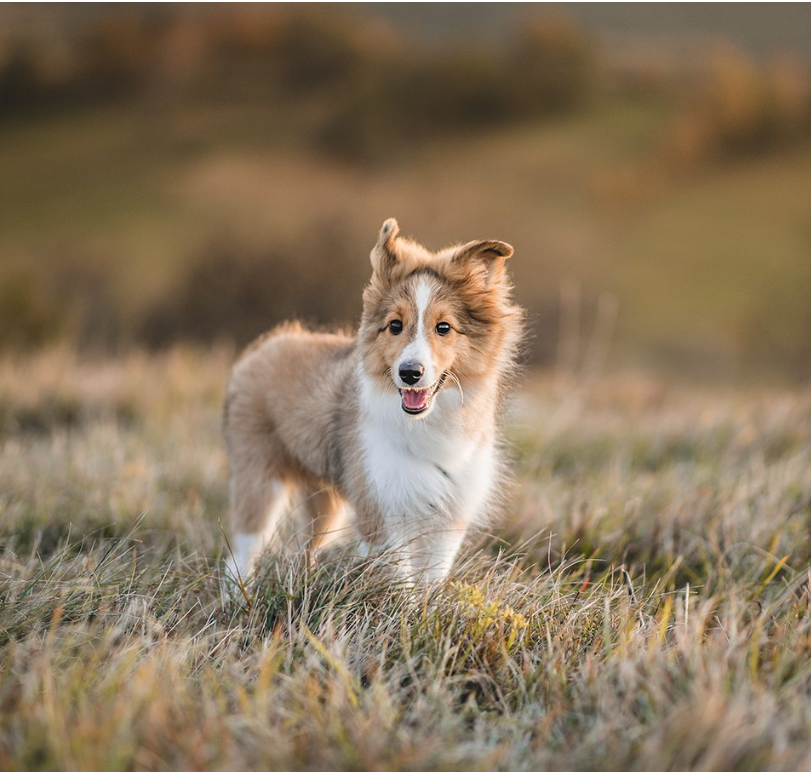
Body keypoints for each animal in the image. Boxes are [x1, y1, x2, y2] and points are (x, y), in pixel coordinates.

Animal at [225, 219, 524, 584]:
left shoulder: (447, 522)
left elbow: (431, 581)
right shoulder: (381, 513)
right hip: (257, 479)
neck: (427, 423)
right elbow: (401, 583)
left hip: (323, 501)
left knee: (302, 547)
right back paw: (237, 593)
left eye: (444, 327)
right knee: (242, 551)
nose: (409, 373)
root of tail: (267, 344)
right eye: (395, 325)